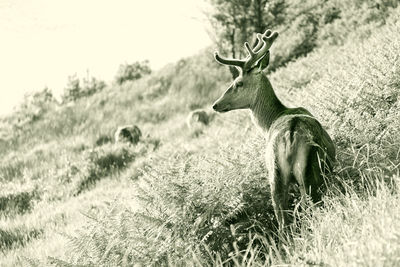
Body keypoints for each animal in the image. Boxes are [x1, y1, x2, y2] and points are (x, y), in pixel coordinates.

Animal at [211, 28, 336, 230]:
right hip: (306, 173)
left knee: (283, 218)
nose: (215, 104)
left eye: (238, 83)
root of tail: (290, 137)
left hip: (276, 174)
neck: (271, 120)